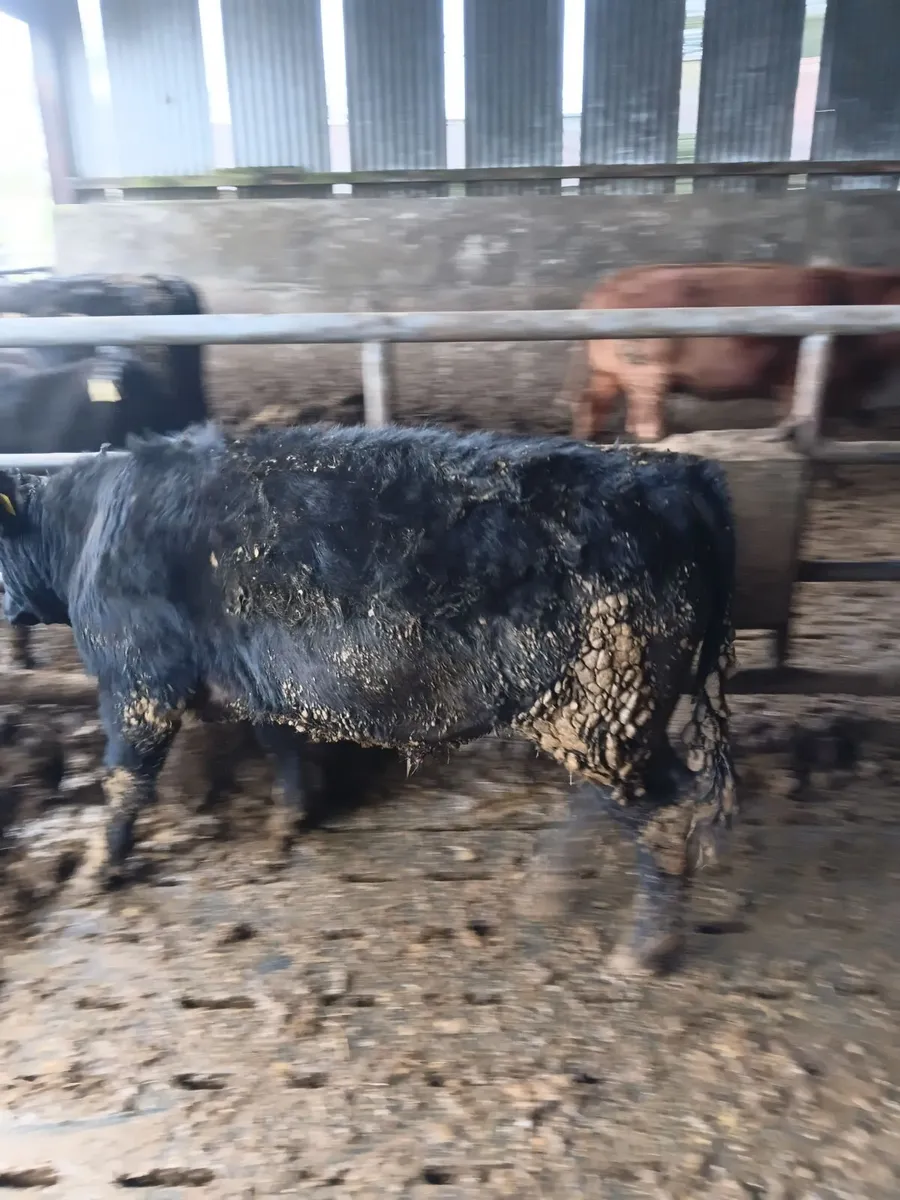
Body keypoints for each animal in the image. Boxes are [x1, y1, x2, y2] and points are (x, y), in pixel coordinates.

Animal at [0, 422, 737, 976]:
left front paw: (96, 872)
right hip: (599, 711)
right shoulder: (254, 675)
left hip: (605, 700)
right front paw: (290, 821)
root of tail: (675, 476)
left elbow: (125, 780)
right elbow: (278, 739)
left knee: (663, 807)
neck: (85, 529)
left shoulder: (137, 680)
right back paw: (548, 890)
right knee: (625, 799)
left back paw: (642, 949)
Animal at [562, 262, 900, 443]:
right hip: (646, 369)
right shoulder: (792, 375)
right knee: (644, 421)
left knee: (590, 402)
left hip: (607, 370)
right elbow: (795, 412)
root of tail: (602, 290)